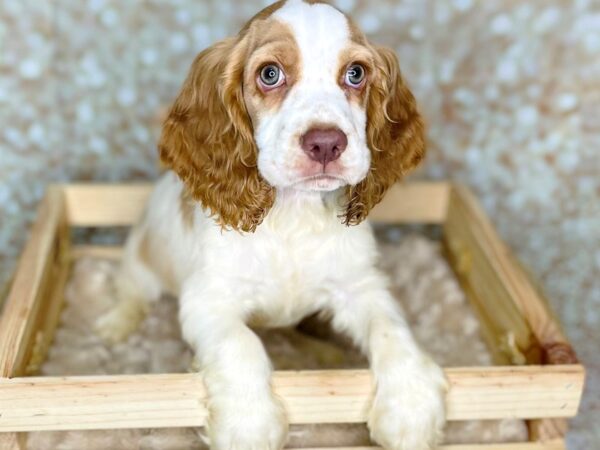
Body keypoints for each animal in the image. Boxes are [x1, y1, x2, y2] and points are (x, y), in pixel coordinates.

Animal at [97, 1, 446, 448]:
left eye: (355, 73)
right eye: (270, 74)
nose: (326, 143)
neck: (294, 214)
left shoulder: (359, 286)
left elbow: (392, 328)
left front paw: (412, 407)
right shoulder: (209, 299)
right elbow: (241, 344)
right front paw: (249, 424)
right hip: (140, 258)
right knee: (131, 290)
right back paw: (116, 325)